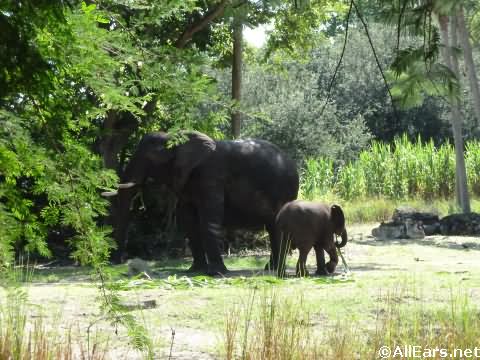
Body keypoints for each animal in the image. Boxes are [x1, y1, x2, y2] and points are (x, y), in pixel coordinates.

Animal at [104, 131, 298, 274]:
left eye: (150, 157)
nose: (115, 262)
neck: (177, 139)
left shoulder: (211, 175)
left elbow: (208, 219)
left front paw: (217, 273)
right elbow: (188, 220)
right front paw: (195, 271)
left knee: (277, 227)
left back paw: (276, 270)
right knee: (272, 227)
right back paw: (271, 268)